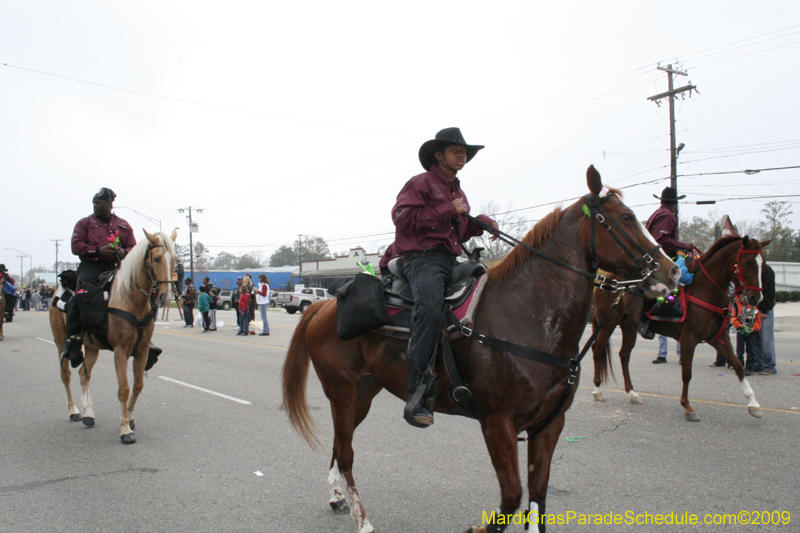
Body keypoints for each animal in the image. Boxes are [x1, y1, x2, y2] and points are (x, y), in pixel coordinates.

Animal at [50, 228, 177, 440]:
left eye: (175, 259)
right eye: (157, 258)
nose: (165, 297)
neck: (130, 298)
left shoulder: (142, 350)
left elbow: (138, 385)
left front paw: (130, 417)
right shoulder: (121, 351)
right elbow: (124, 389)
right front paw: (125, 429)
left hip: (92, 347)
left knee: (84, 374)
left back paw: (88, 415)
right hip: (61, 343)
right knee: (65, 374)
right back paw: (74, 411)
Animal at [284, 166, 680, 532]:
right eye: (626, 218)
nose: (672, 272)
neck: (528, 315)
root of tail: (324, 306)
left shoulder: (549, 424)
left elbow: (537, 498)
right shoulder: (498, 423)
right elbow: (512, 497)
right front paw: (478, 528)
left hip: (364, 393)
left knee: (339, 445)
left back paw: (337, 496)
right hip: (343, 392)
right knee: (347, 453)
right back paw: (362, 518)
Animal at [592, 235, 768, 422]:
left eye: (763, 262)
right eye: (749, 262)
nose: (756, 297)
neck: (705, 290)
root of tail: (607, 280)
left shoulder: (718, 338)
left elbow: (737, 365)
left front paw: (753, 404)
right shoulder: (688, 339)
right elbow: (687, 373)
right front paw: (687, 407)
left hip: (629, 325)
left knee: (624, 355)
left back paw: (632, 393)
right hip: (608, 321)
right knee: (597, 350)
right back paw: (597, 390)